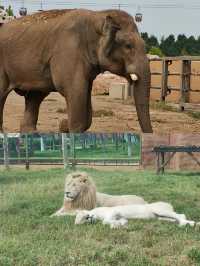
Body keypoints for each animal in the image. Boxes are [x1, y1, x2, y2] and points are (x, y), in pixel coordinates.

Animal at [0, 8, 152, 132]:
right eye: (128, 46)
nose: (61, 124)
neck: (97, 16)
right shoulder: (68, 52)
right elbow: (75, 91)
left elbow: (86, 102)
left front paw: (64, 126)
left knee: (34, 97)